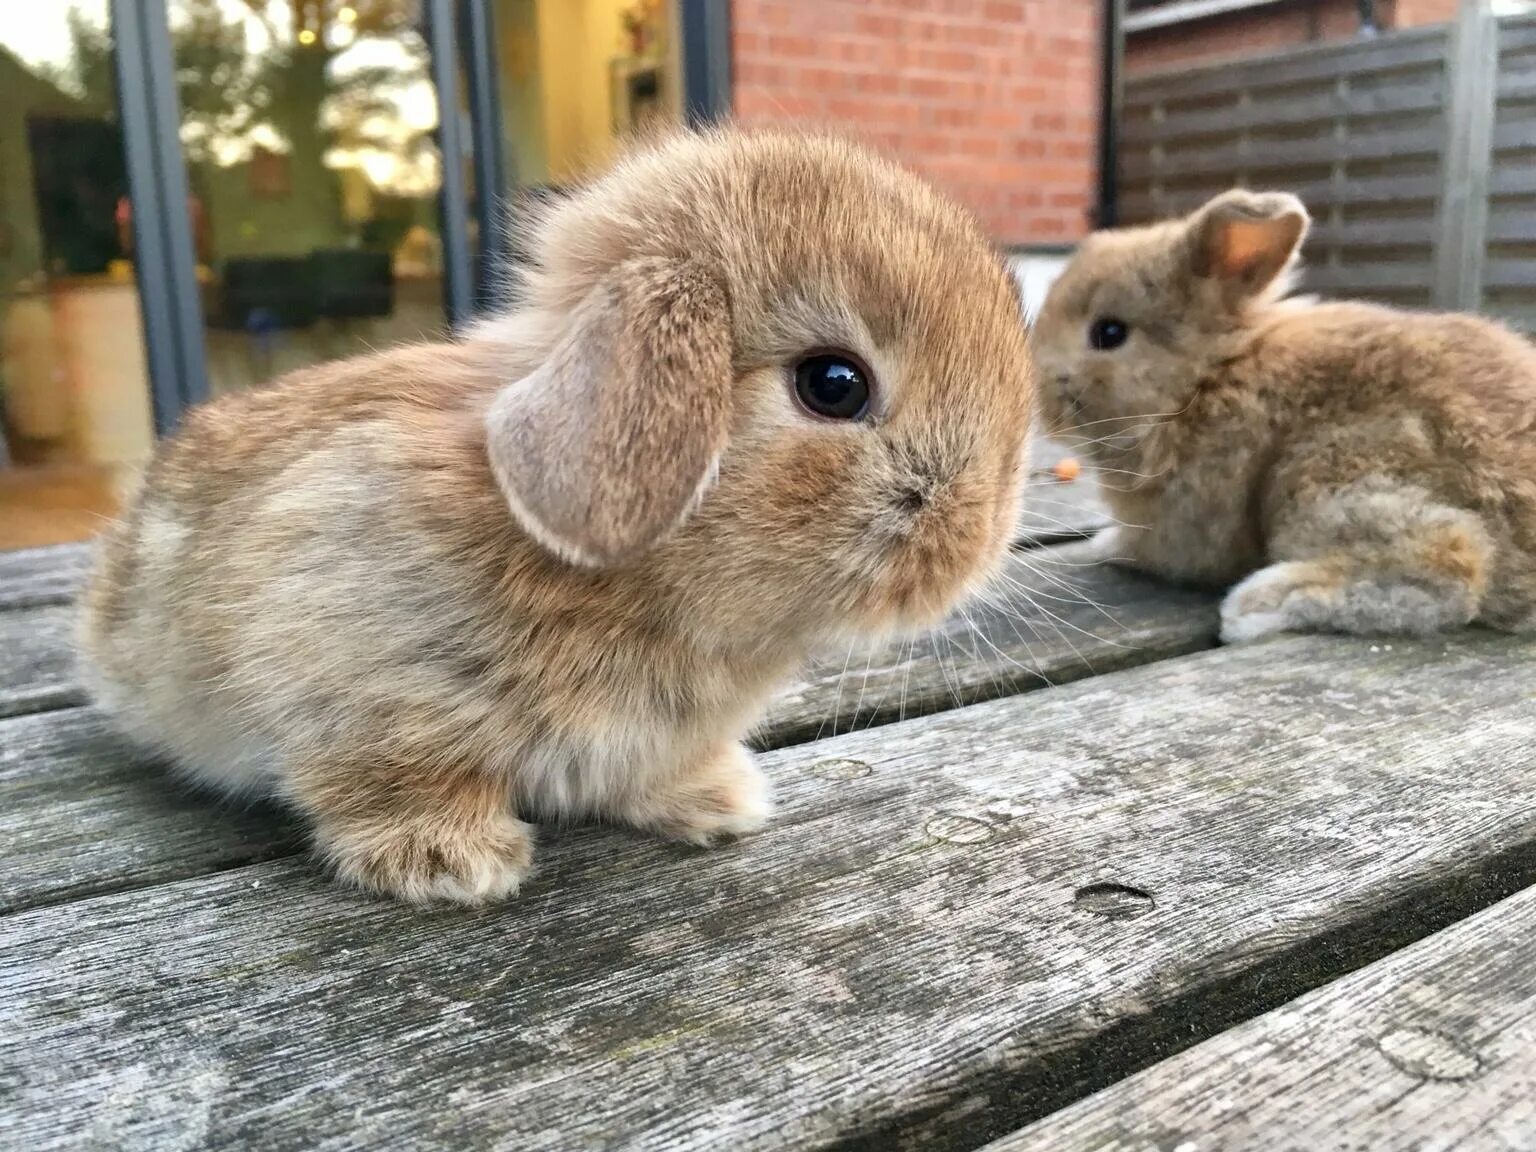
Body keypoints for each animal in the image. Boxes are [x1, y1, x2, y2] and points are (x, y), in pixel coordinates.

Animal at [87, 130, 1044, 909]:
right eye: (833, 385)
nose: (980, 541)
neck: (643, 586)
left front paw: (720, 804)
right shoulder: (351, 685)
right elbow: (383, 776)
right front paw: (455, 862)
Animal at [1026, 185, 1536, 645]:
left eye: (1109, 332)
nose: (1040, 404)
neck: (1204, 380)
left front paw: (1105, 544)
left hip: (1335, 473)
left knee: (1452, 563)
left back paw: (1255, 606)